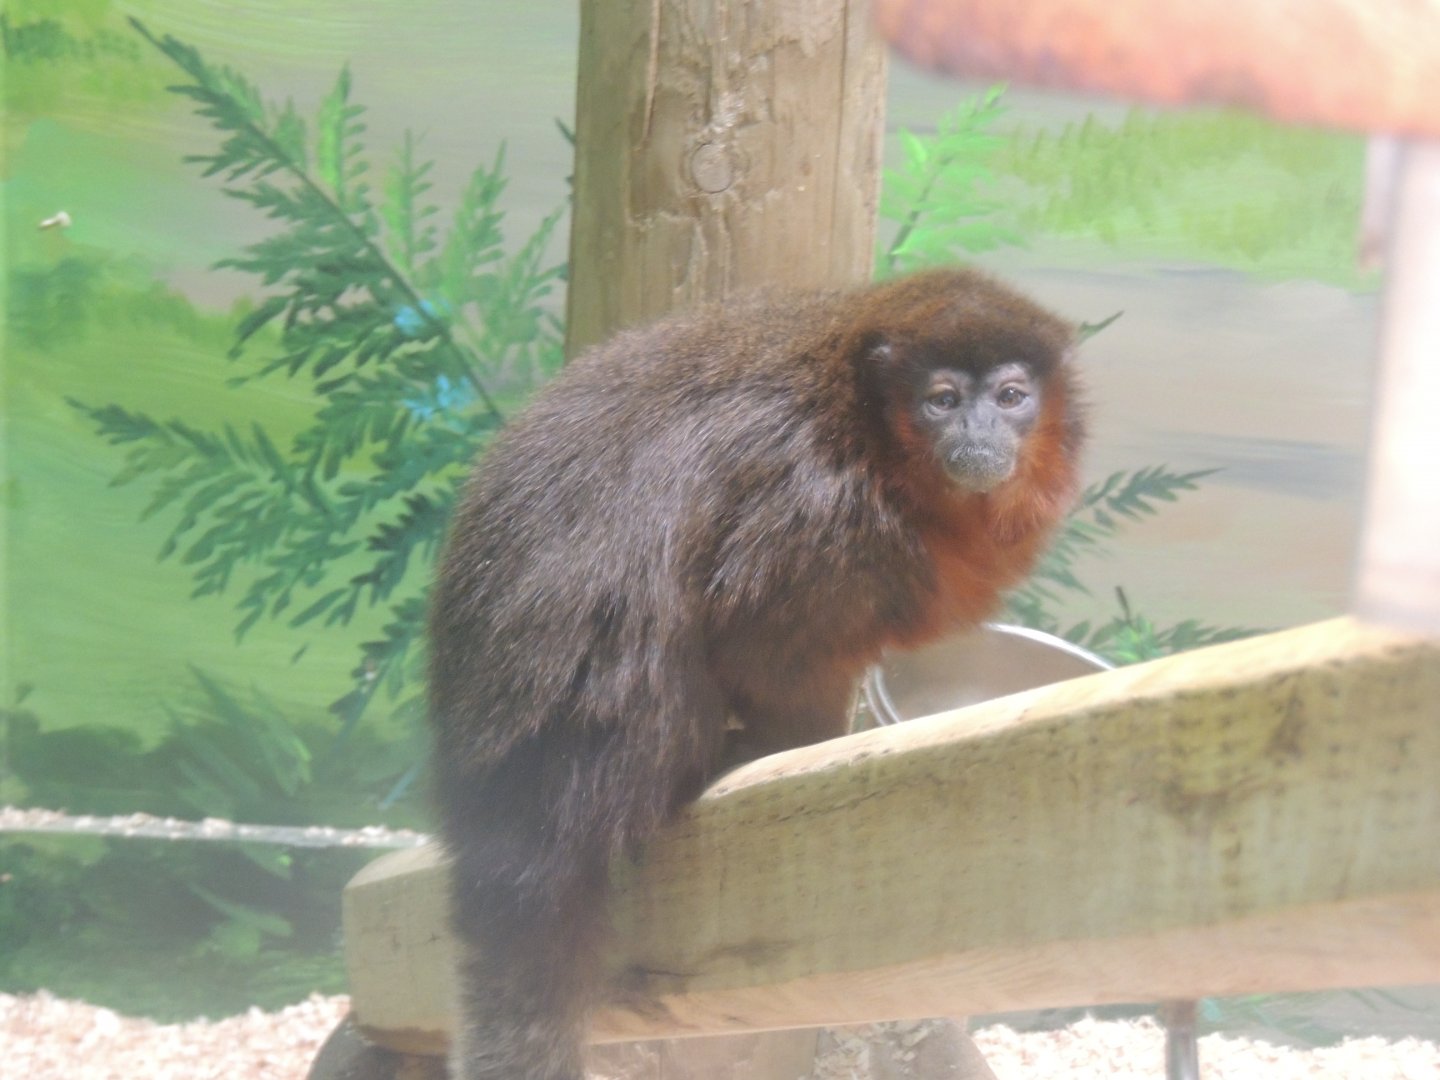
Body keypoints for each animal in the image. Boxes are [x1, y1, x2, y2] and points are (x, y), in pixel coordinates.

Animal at [427, 267, 1084, 1080]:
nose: (979, 433)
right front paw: (802, 739)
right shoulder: (814, 496)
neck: (868, 434)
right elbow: (755, 633)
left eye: (1011, 396)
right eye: (943, 400)